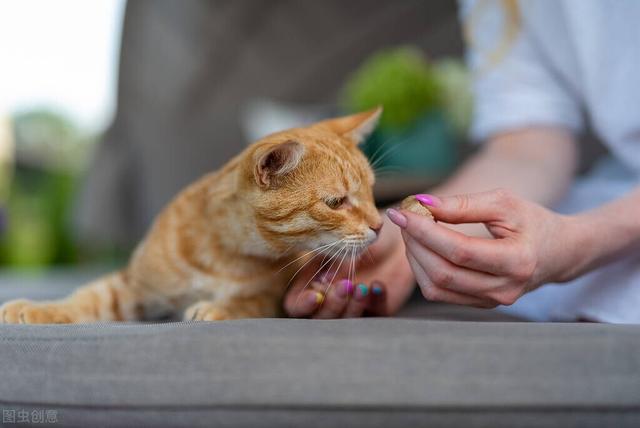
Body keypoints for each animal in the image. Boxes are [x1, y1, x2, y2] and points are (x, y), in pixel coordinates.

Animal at [0, 108, 382, 322]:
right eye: (336, 202)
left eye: (371, 192)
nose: (380, 225)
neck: (221, 254)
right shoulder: (132, 287)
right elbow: (86, 299)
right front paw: (36, 309)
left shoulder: (275, 296)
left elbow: (250, 301)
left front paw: (220, 307)